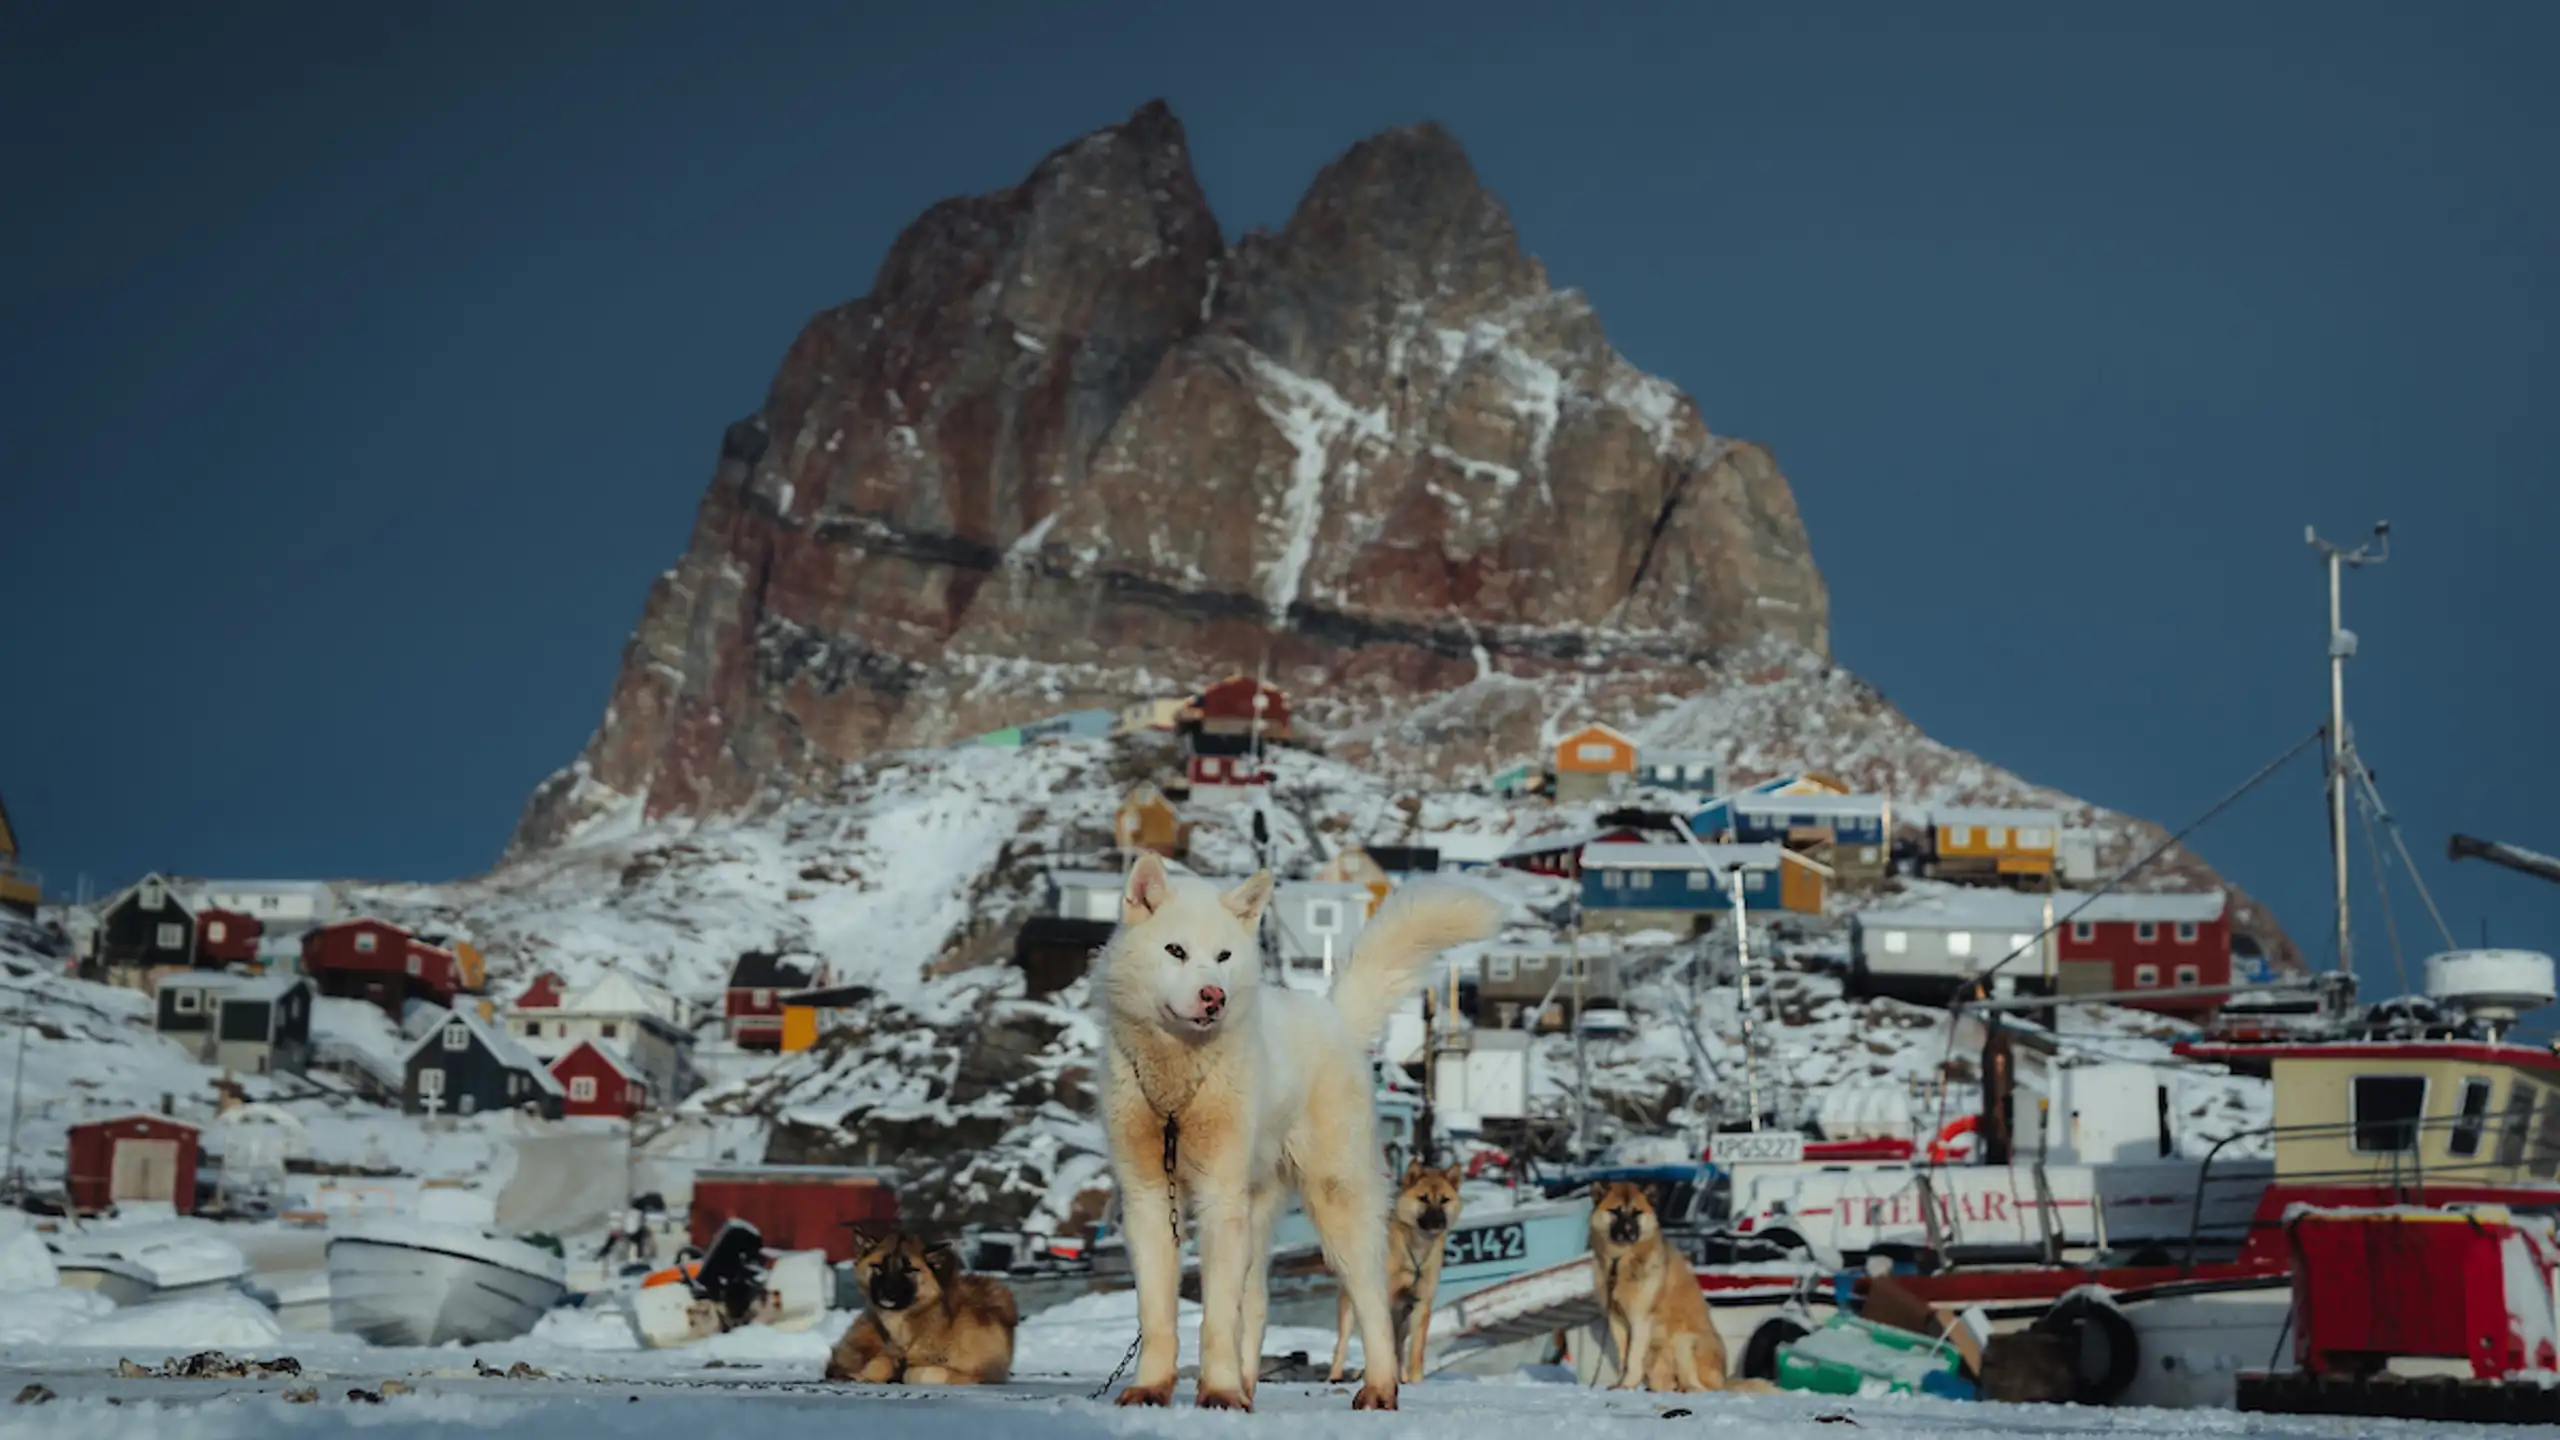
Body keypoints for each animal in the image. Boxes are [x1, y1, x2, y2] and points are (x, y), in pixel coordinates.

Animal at [824, 1219, 1013, 1383]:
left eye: (909, 1269)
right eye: (878, 1267)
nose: (887, 1294)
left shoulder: (984, 1372)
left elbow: (915, 1372)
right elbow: (881, 1363)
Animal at [1341, 1153, 1464, 1383]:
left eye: (1444, 1200)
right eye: (1423, 1198)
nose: (1438, 1221)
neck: (1415, 1249)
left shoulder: (1421, 1306)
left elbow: (1416, 1351)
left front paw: (1415, 1380)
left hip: (1403, 1321)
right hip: (1352, 1310)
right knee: (1341, 1347)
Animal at [1587, 1178, 1730, 1393]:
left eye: (1637, 1212)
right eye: (1615, 1211)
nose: (1628, 1233)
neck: (1619, 1262)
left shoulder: (1640, 1321)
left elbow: (1633, 1359)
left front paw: (1627, 1385)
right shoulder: (1617, 1321)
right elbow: (1623, 1358)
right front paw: (1621, 1384)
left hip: (1684, 1342)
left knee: (1702, 1388)